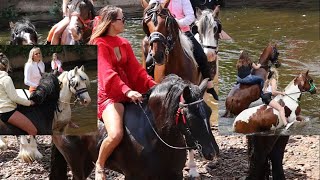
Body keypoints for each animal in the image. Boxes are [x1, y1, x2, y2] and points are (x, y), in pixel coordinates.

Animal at [50, 74, 220, 179]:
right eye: (189, 116)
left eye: (209, 111)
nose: (212, 151)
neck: (155, 136)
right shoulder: (133, 175)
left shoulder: (174, 174)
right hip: (77, 165)